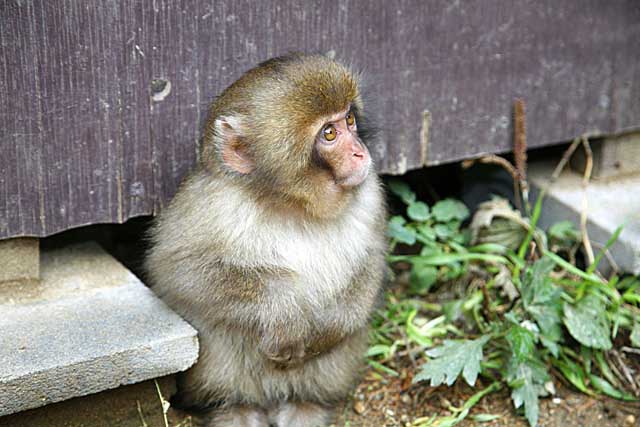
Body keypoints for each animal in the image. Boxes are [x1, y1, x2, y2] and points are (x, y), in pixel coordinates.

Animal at [145, 54, 384, 427]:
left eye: (349, 119)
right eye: (329, 133)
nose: (360, 152)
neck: (293, 205)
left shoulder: (370, 192)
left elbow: (370, 261)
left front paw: (330, 327)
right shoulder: (210, 204)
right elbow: (181, 272)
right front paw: (284, 312)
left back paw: (307, 405)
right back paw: (235, 408)